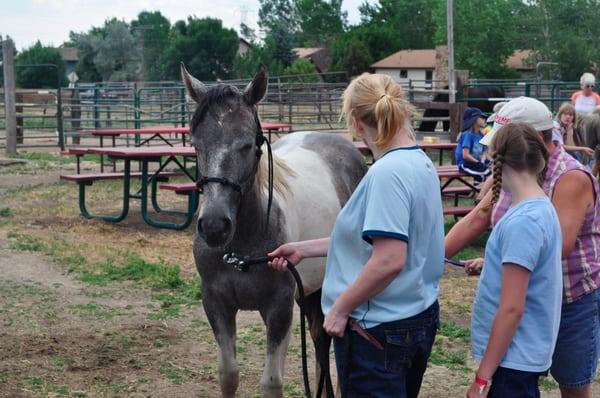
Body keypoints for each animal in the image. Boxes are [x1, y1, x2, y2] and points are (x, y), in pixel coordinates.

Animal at [183, 64, 368, 394]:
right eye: (196, 145)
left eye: (247, 144)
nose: (214, 226)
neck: (241, 251)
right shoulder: (216, 304)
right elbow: (228, 374)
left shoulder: (279, 308)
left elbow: (271, 383)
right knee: (319, 341)